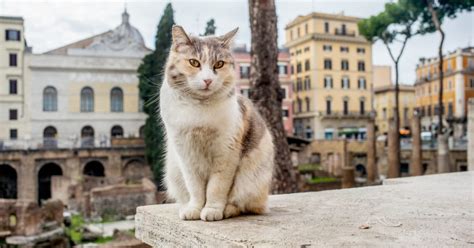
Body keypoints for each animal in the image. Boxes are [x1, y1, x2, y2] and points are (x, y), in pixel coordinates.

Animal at [160, 26, 274, 222]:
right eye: (194, 62)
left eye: (219, 64)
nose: (207, 80)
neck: (199, 108)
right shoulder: (185, 154)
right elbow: (195, 188)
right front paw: (194, 209)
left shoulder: (226, 153)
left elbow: (216, 187)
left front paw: (212, 210)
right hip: (173, 171)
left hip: (252, 178)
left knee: (244, 204)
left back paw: (228, 210)